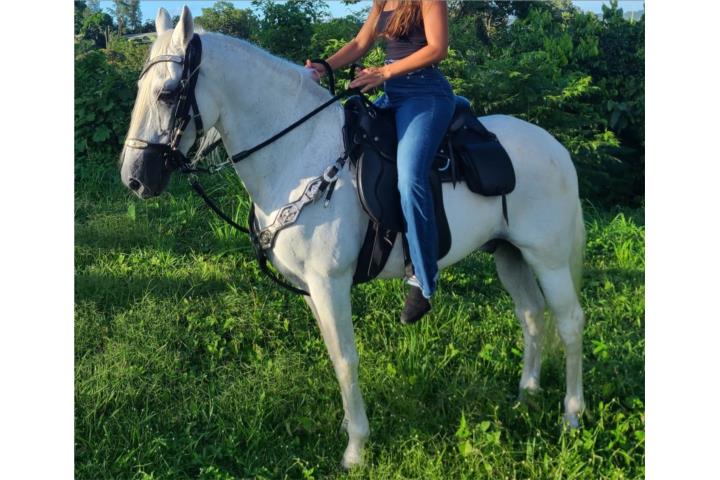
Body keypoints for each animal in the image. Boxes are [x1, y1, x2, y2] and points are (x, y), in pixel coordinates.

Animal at [121, 7, 588, 468]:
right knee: (531, 315)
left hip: (547, 259)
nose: (134, 179)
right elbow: (334, 355)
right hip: (510, 254)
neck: (298, 154)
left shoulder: (330, 283)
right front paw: (350, 430)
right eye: (141, 86)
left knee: (569, 321)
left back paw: (571, 415)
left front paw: (356, 449)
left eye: (168, 93)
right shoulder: (311, 290)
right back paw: (526, 395)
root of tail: (556, 148)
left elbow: (346, 359)